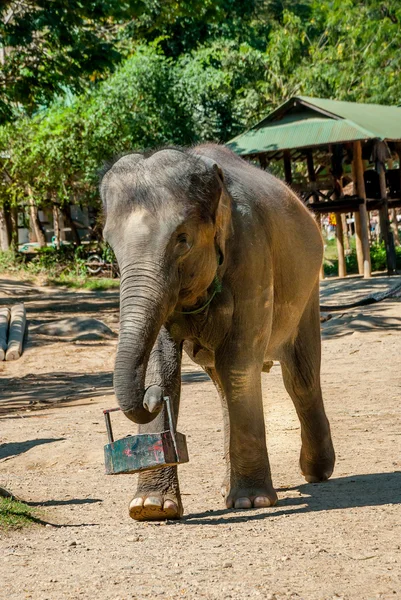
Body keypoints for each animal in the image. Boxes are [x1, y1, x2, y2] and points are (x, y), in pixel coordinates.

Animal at [100, 144, 334, 520]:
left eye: (182, 240)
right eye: (111, 244)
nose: (150, 399)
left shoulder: (252, 253)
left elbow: (238, 363)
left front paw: (253, 501)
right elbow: (163, 366)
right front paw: (150, 508)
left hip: (308, 289)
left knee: (300, 378)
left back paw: (316, 472)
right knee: (223, 384)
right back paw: (225, 487)